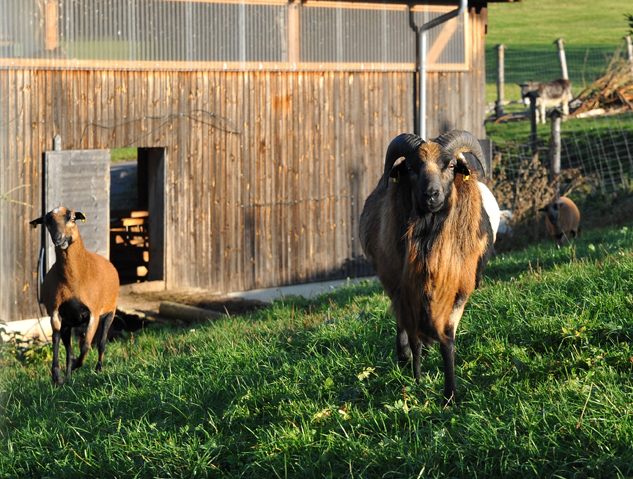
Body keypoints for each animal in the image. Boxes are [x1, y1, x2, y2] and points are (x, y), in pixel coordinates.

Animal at [30, 207, 119, 386]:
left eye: (72, 218)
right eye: (47, 221)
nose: (58, 238)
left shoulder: (94, 313)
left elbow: (86, 346)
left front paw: (79, 364)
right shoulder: (55, 312)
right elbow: (56, 340)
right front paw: (57, 376)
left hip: (110, 312)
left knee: (101, 343)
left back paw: (98, 370)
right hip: (69, 322)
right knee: (69, 347)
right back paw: (69, 377)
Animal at [360, 129, 488, 404]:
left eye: (450, 165)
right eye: (410, 167)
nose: (431, 195)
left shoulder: (459, 289)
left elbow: (447, 338)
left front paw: (451, 395)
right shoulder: (403, 287)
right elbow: (413, 336)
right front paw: (417, 382)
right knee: (403, 326)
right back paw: (404, 358)